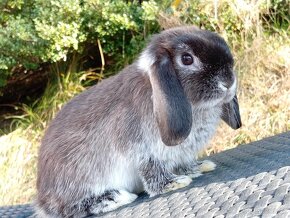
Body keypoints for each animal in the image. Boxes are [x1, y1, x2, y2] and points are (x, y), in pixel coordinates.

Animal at [35, 26, 241, 217]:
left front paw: (199, 167)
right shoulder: (141, 150)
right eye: (187, 59)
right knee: (70, 208)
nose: (228, 81)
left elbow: (183, 164)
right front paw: (173, 183)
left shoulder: (180, 154)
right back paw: (114, 198)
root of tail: (42, 199)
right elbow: (151, 169)